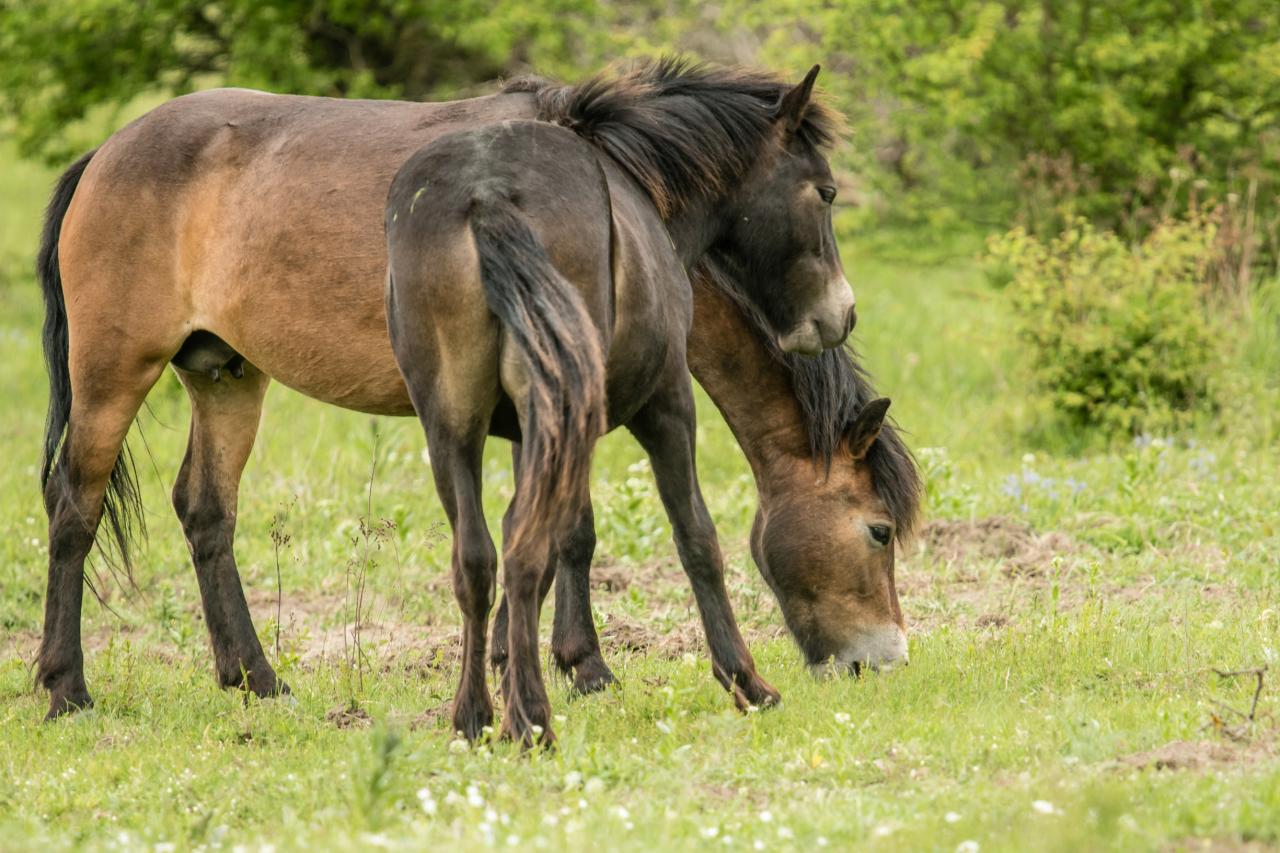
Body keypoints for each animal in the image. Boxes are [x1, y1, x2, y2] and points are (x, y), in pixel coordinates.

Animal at [33, 59, 862, 731]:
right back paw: (66, 686)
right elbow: (584, 535)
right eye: (824, 191)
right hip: (113, 374)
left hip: (225, 377)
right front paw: (580, 666)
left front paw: (530, 667)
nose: (840, 315)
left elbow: (540, 538)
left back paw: (255, 678)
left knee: (207, 511)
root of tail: (105, 153)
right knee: (74, 507)